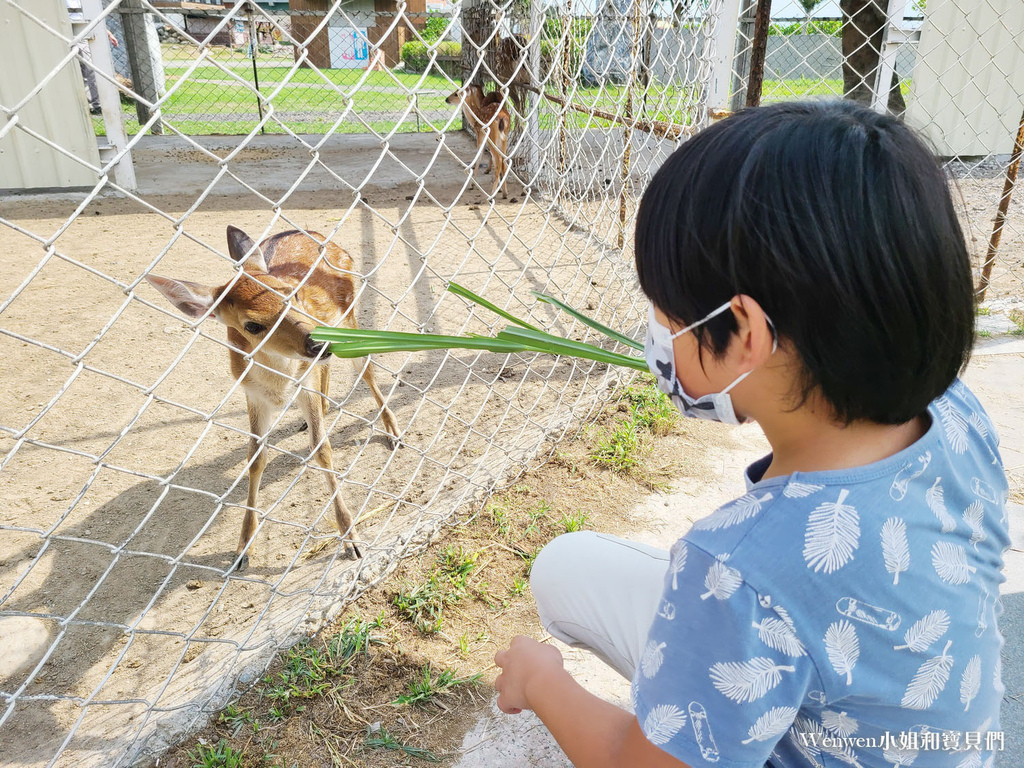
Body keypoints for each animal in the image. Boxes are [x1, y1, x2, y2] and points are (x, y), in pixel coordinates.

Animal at [146, 225, 397, 569]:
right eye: (252, 325)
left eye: (294, 294)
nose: (317, 344)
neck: (279, 383)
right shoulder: (251, 393)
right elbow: (255, 457)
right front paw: (243, 549)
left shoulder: (305, 381)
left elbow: (322, 449)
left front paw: (352, 539)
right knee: (332, 371)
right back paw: (325, 408)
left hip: (349, 316)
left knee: (367, 369)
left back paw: (393, 432)